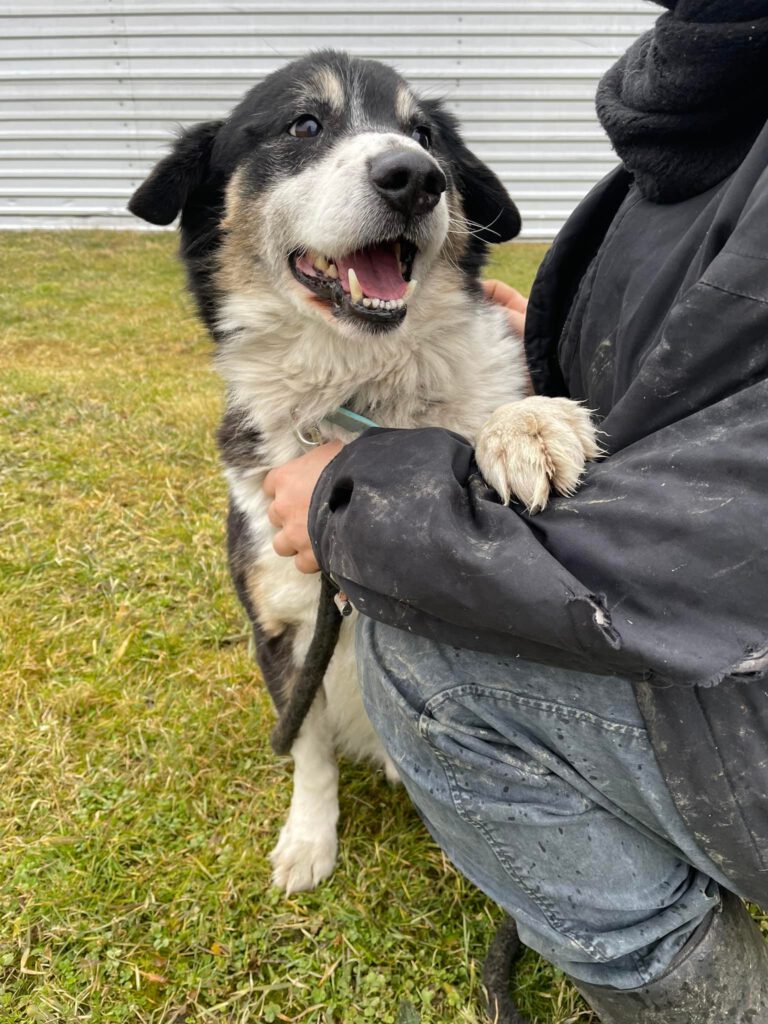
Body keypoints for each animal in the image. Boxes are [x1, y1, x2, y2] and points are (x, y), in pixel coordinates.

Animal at [131, 49, 602, 897]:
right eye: (303, 125)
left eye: (425, 135)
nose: (415, 178)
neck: (358, 389)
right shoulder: (281, 629)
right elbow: (309, 751)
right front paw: (308, 838)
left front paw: (527, 425)